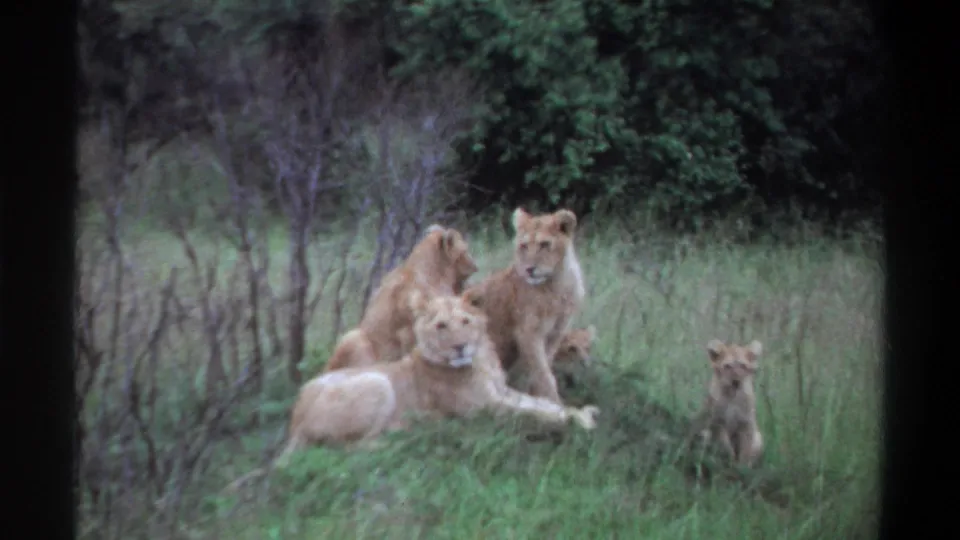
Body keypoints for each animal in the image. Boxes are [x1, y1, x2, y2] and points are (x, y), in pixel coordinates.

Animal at [280, 291, 601, 459]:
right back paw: (408, 437)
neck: (481, 361)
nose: (460, 347)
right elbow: (534, 413)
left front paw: (581, 411)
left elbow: (543, 403)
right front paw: (575, 421)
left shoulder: (502, 392)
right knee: (347, 448)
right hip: (377, 382)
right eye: (441, 326)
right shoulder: (485, 409)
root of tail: (293, 422)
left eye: (465, 321)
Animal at [462, 207, 586, 404]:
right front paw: (555, 404)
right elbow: (543, 374)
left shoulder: (556, 333)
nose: (529, 269)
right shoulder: (527, 333)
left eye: (544, 244)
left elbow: (543, 369)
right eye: (524, 246)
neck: (557, 284)